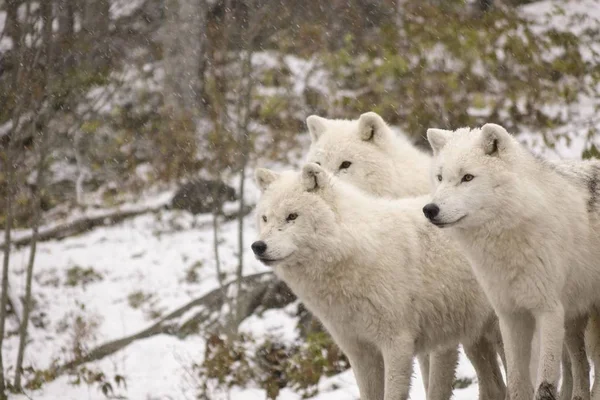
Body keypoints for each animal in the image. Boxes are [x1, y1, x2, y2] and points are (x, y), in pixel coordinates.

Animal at [251, 164, 504, 400]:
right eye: (265, 218)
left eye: (292, 216)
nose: (257, 246)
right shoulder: (360, 351)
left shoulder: (397, 344)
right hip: (474, 338)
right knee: (495, 387)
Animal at [424, 124, 600, 400]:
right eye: (440, 177)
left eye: (467, 178)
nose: (430, 209)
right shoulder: (510, 315)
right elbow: (516, 381)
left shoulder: (549, 311)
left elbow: (545, 384)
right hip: (574, 321)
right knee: (580, 366)